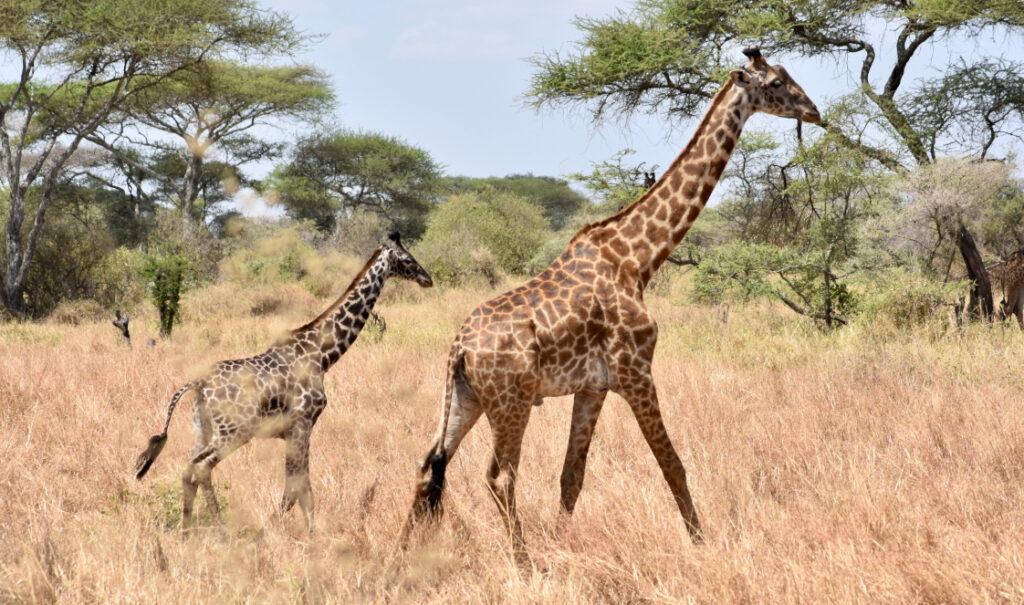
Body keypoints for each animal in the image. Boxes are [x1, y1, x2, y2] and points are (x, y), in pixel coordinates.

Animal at [134, 232, 433, 531]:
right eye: (407, 259)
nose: (427, 278)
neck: (320, 355)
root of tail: (200, 385)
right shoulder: (303, 423)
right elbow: (299, 488)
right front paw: (299, 532)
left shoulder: (291, 430)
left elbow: (294, 487)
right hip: (234, 432)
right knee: (201, 468)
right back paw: (220, 529)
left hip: (204, 430)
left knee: (188, 469)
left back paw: (186, 530)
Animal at [401, 48, 821, 557]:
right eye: (777, 82)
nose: (815, 112)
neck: (637, 258)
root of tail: (459, 348)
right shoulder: (636, 370)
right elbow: (672, 464)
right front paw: (701, 544)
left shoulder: (593, 386)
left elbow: (572, 476)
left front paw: (563, 545)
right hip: (510, 401)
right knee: (499, 478)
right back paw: (524, 562)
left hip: (465, 398)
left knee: (427, 467)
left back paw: (398, 561)